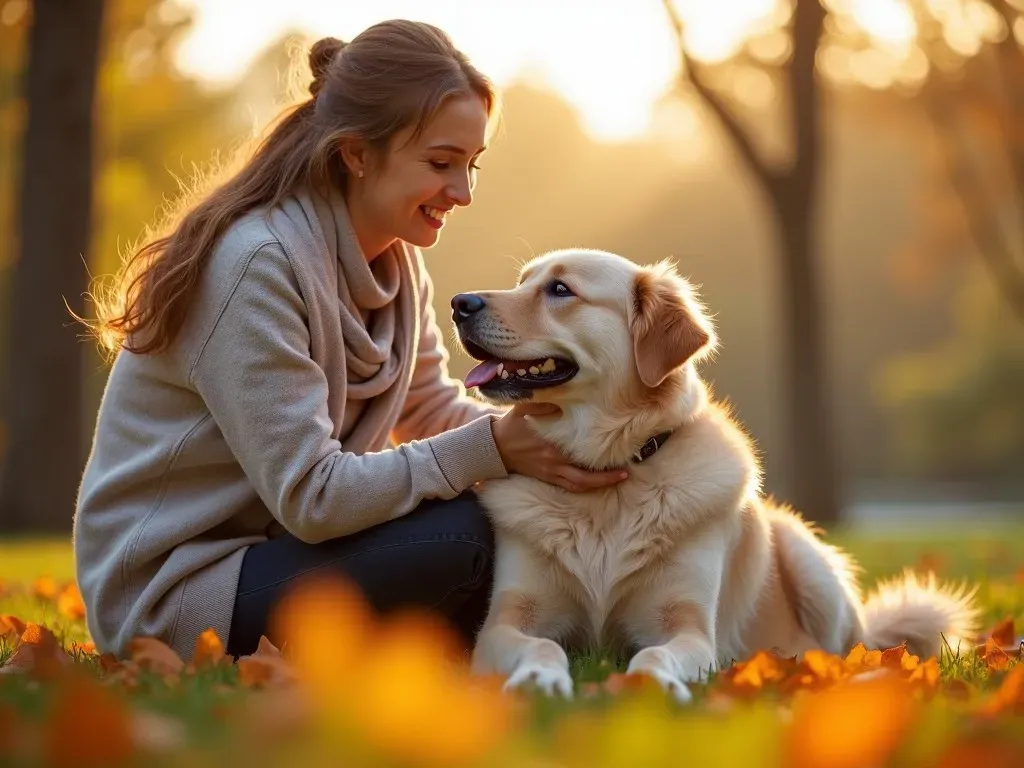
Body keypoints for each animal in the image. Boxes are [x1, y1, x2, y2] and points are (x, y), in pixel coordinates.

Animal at [452, 247, 978, 704]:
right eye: (522, 281)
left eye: (560, 289)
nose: (460, 303)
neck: (609, 477)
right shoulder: (508, 620)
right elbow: (543, 644)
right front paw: (539, 678)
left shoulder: (689, 629)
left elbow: (656, 655)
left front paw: (653, 686)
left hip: (806, 556)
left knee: (850, 647)